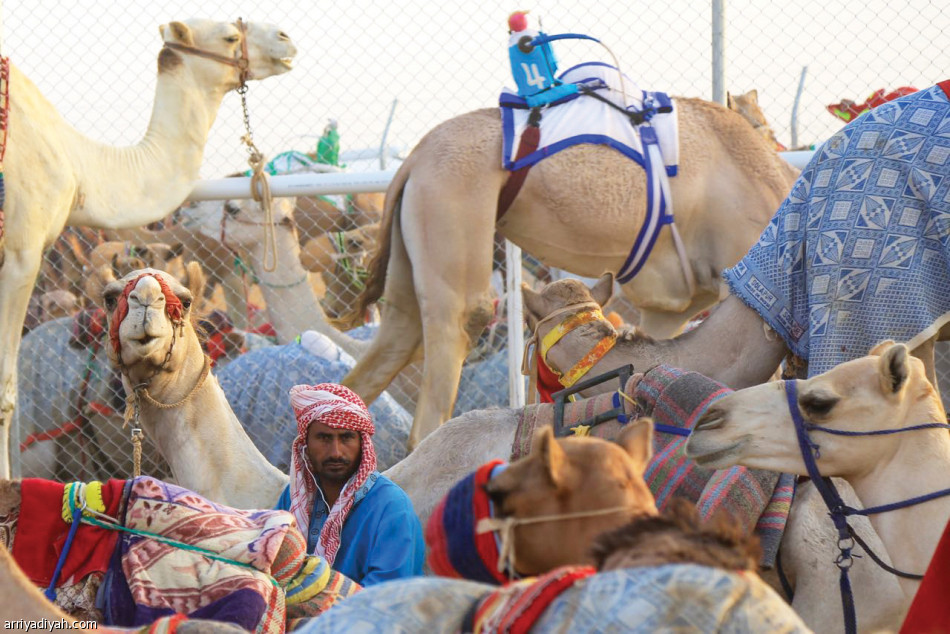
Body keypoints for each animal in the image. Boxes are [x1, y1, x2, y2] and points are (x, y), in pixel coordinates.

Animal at [338, 95, 800, 450]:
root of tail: (413, 158)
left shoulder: (669, 308)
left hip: (410, 244)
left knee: (392, 341)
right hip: (452, 207)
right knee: (452, 346)